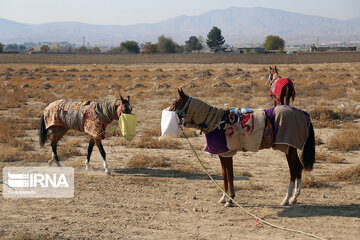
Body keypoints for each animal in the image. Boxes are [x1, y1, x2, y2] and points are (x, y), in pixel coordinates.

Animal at [170, 89, 314, 207]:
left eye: (175, 102)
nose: (168, 112)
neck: (216, 122)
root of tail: (304, 114)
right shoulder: (223, 154)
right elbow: (224, 175)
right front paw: (224, 198)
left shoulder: (227, 153)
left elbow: (230, 175)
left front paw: (230, 200)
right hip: (292, 148)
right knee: (298, 167)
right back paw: (294, 198)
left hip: (289, 148)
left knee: (293, 169)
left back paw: (286, 199)